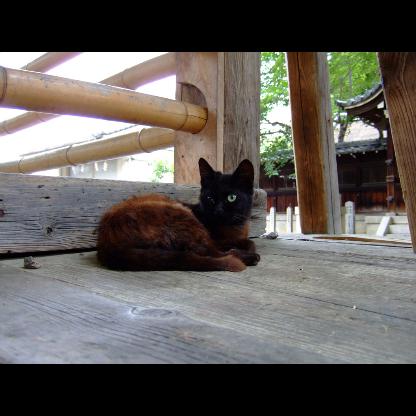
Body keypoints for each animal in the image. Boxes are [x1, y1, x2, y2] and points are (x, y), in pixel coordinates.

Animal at [96, 158, 260, 272]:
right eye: (210, 198)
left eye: (231, 197)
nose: (218, 211)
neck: (235, 229)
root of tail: (108, 245)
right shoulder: (217, 239)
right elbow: (249, 243)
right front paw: (247, 251)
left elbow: (248, 241)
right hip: (184, 217)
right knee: (207, 251)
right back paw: (250, 258)